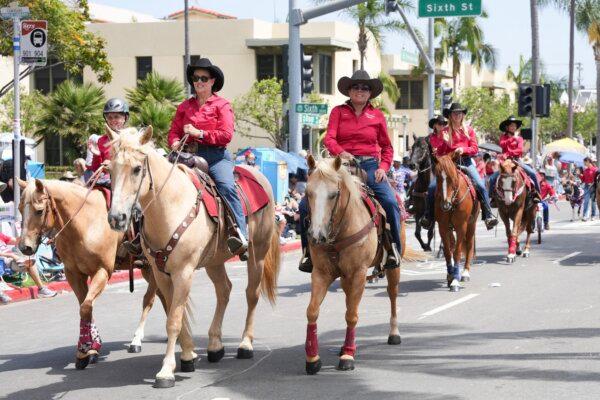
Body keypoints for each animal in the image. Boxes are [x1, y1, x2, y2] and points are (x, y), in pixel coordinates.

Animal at [17, 177, 166, 368]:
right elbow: (85, 307)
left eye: (39, 211)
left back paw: (136, 340)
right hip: (149, 270)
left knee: (149, 300)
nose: (25, 247)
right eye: (20, 208)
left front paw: (85, 350)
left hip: (153, 268)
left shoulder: (102, 271)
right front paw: (92, 347)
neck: (84, 224)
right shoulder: (73, 274)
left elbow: (86, 307)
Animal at [104, 126, 280, 388]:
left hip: (257, 253)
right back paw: (215, 345)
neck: (169, 206)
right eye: (110, 169)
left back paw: (245, 344)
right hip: (214, 261)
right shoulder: (161, 273)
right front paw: (188, 355)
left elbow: (174, 320)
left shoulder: (183, 271)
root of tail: (258, 175)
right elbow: (173, 313)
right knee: (224, 290)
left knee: (251, 294)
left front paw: (166, 371)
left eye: (136, 169)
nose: (117, 218)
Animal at [302, 156, 400, 376]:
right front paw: (312, 358)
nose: (316, 236)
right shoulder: (321, 273)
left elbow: (352, 315)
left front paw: (347, 356)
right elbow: (312, 311)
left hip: (392, 269)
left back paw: (394, 333)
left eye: (334, 194)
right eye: (308, 192)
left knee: (392, 295)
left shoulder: (358, 274)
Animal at [434, 154, 480, 290]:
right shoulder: (443, 227)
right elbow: (448, 252)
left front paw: (455, 281)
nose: (445, 204)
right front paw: (450, 276)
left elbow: (457, 253)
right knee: (452, 244)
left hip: (471, 225)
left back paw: (464, 273)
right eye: (437, 177)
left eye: (452, 177)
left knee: (469, 245)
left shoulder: (461, 227)